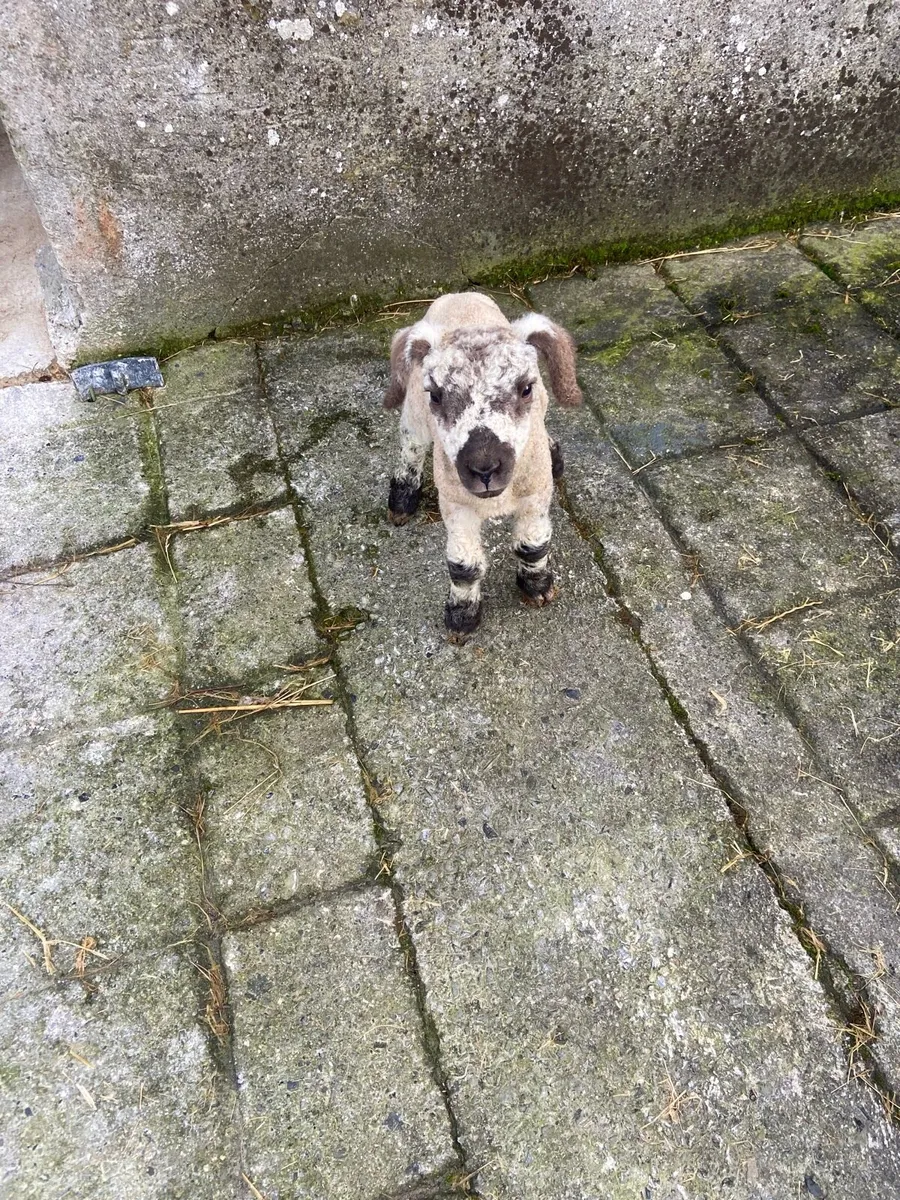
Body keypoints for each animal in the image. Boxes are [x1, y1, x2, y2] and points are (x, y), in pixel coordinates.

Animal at [383, 292, 582, 642]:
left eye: (525, 388)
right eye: (436, 395)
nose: (484, 469)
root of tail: (460, 295)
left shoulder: (535, 493)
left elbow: (533, 546)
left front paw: (536, 587)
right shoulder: (455, 504)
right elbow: (463, 566)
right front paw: (462, 616)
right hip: (413, 411)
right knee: (411, 446)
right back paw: (403, 498)